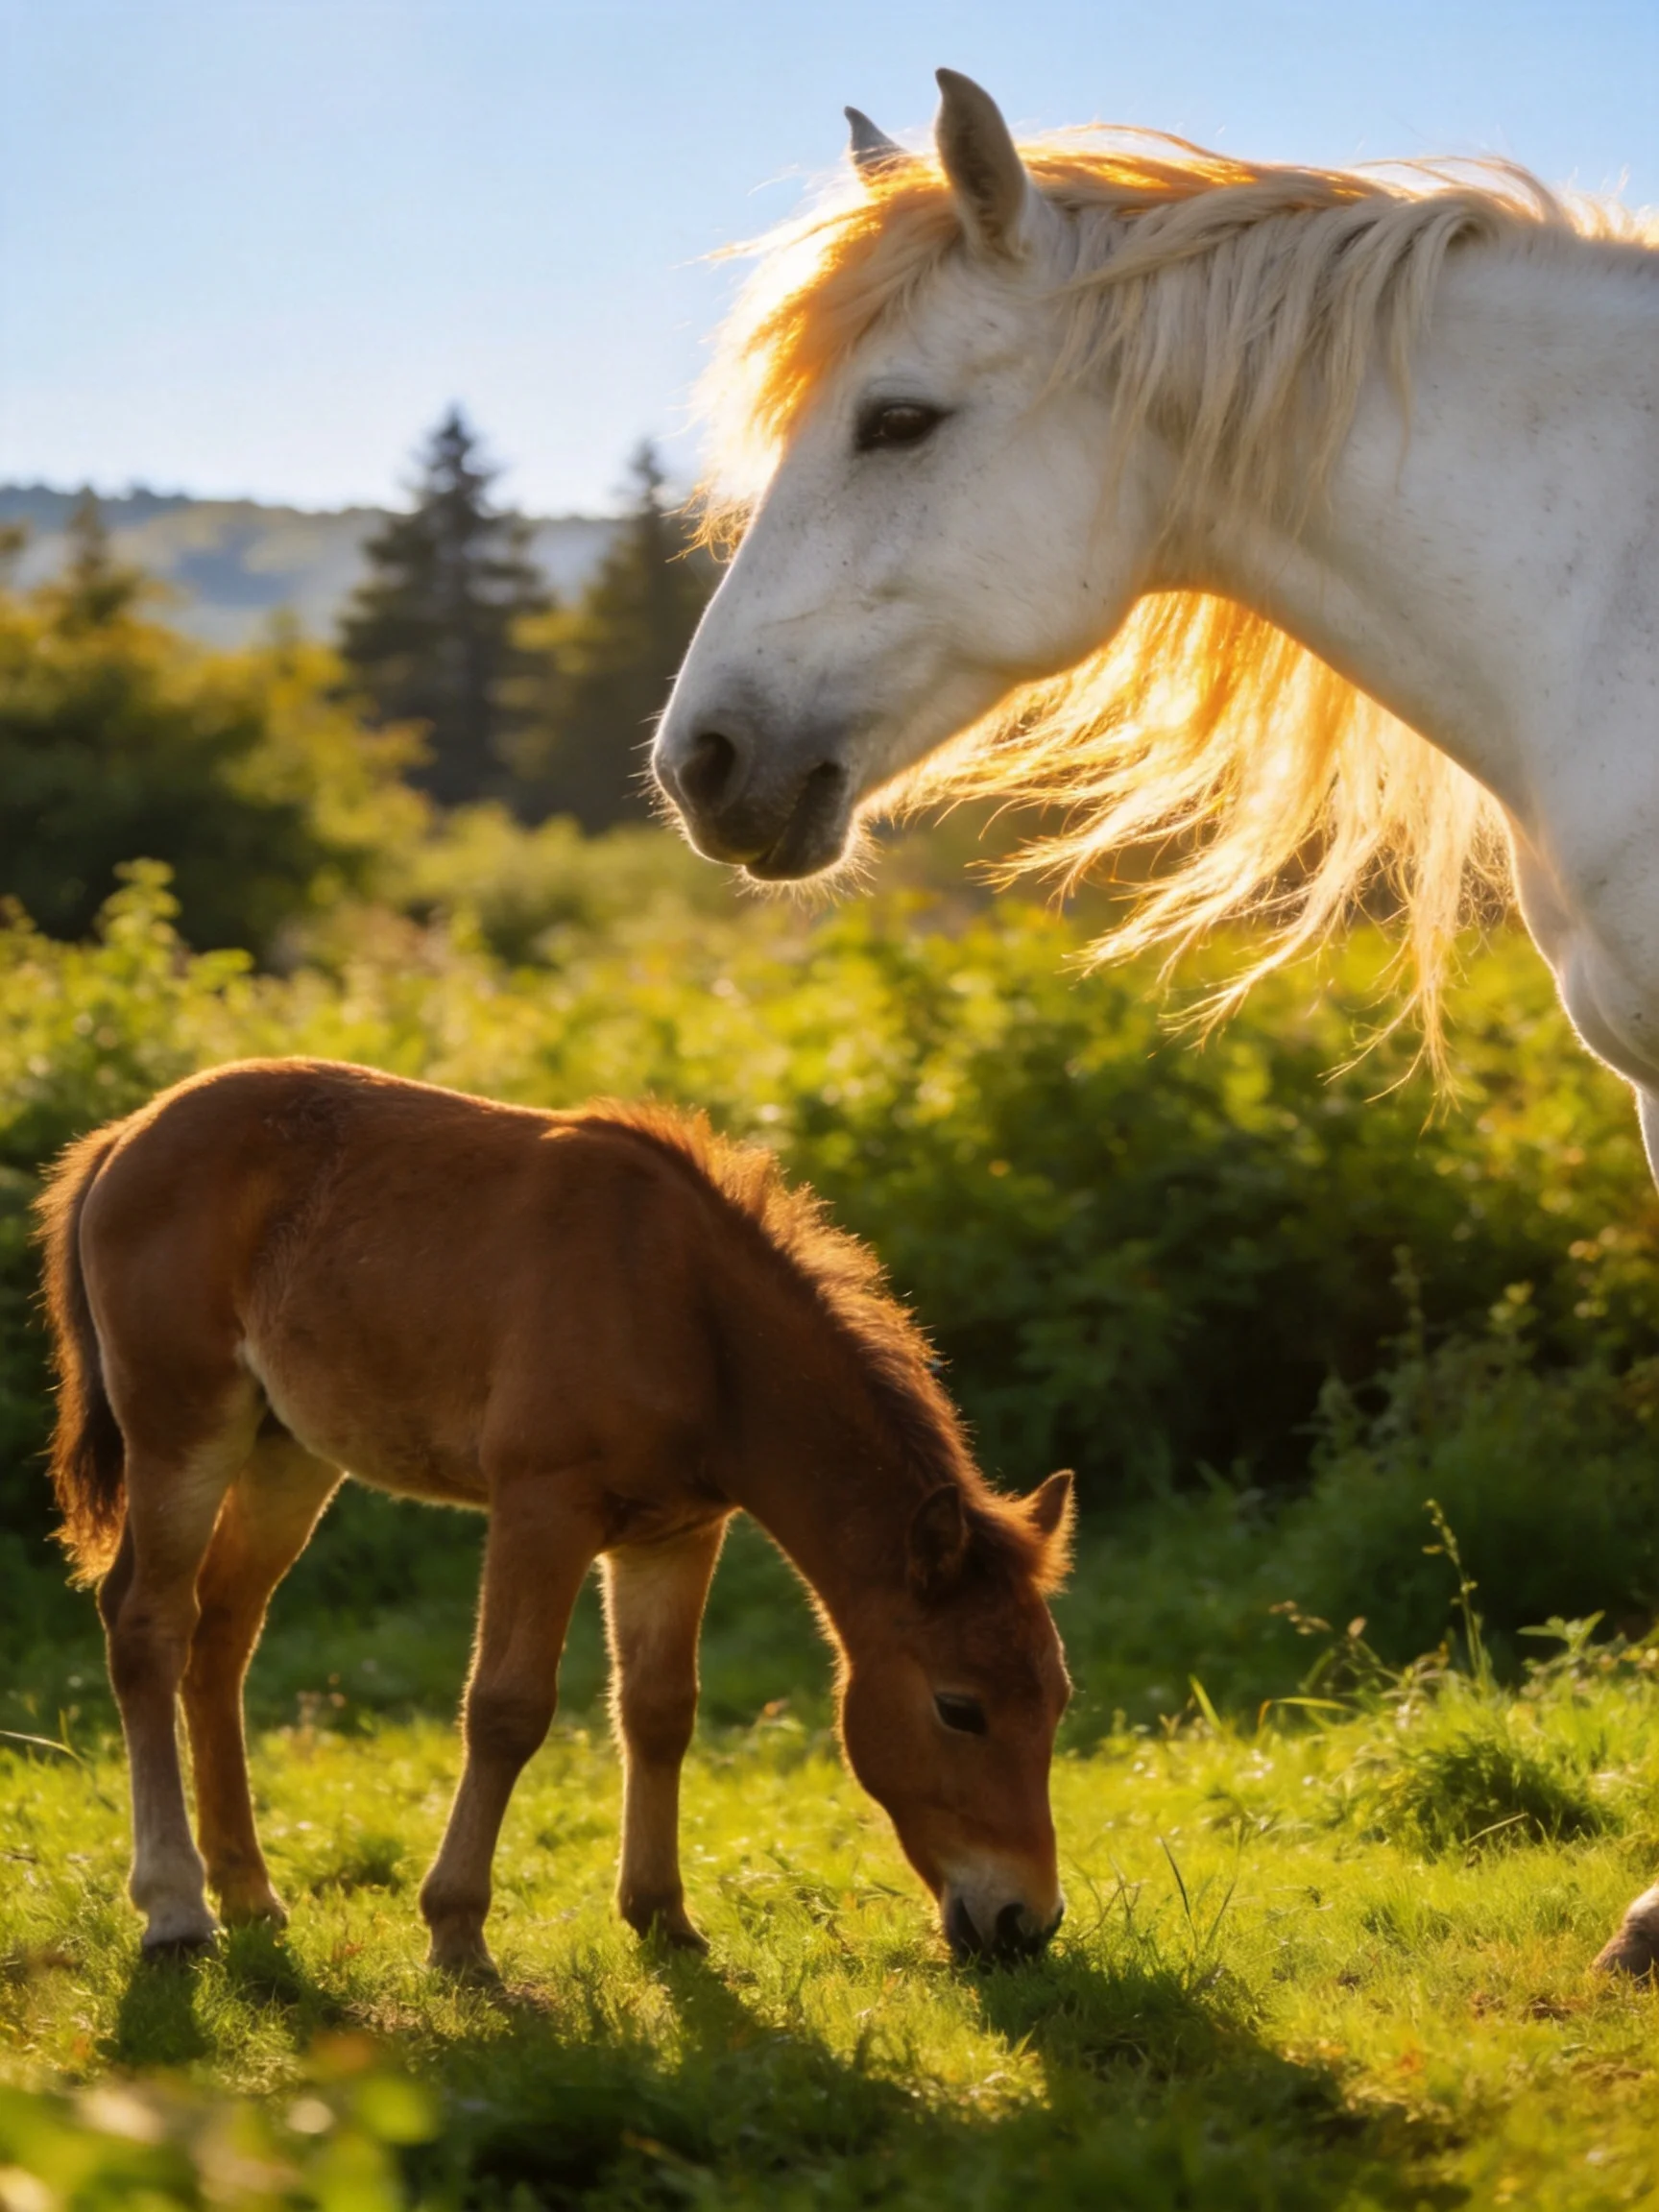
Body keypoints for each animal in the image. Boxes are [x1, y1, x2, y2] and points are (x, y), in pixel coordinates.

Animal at [36, 1057, 1073, 1974]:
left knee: (221, 1634)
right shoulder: (542, 1506)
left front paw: (663, 1917)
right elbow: (506, 1708)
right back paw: (176, 1912)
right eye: (960, 1708)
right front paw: (457, 1932)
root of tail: (127, 1136)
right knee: (149, 1626)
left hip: (286, 1453)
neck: (690, 1317)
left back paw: (250, 1893)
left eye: (1058, 1700)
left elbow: (658, 1710)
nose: (1026, 1922)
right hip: (183, 1429)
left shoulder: (677, 1533)